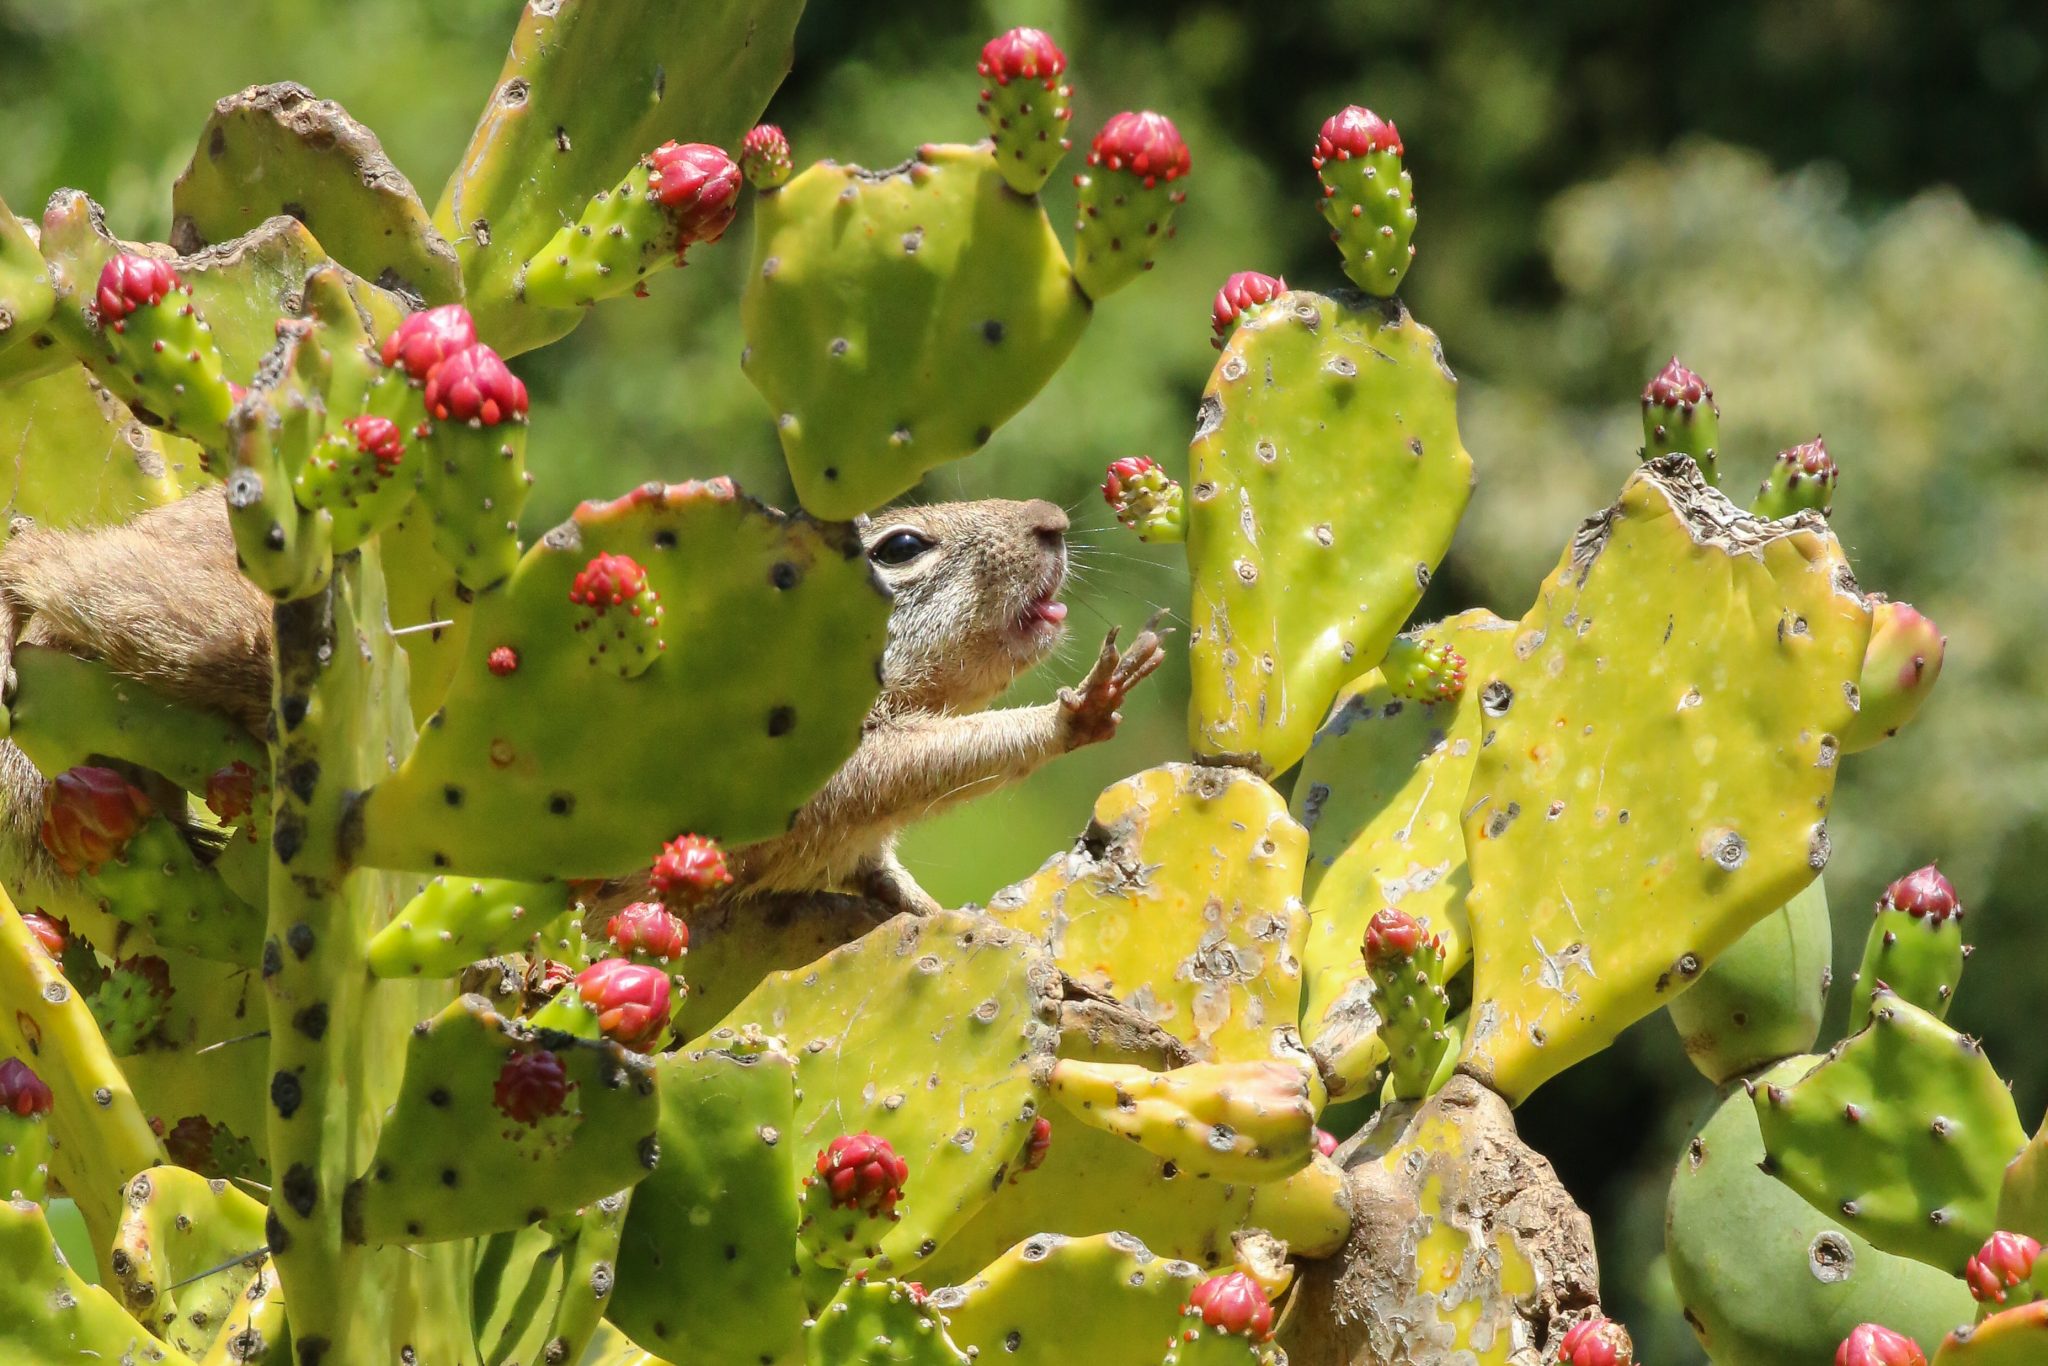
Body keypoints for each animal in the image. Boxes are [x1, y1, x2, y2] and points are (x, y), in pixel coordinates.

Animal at [0, 487, 1165, 914]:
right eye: (902, 546)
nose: (1056, 520)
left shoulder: (853, 850)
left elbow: (902, 892)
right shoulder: (820, 770)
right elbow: (924, 757)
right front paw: (1077, 711)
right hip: (193, 625)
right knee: (68, 593)